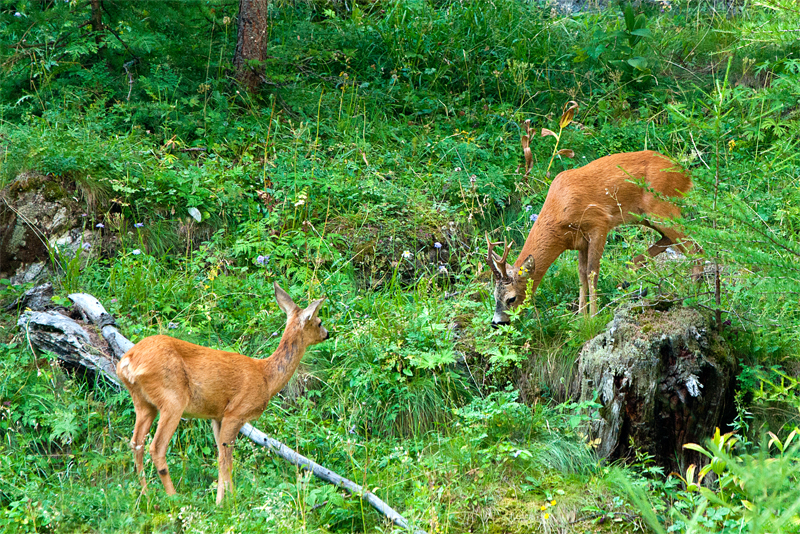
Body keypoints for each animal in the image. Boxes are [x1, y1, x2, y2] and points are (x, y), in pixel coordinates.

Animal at [116, 284, 328, 506]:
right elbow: (226, 458)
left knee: (136, 443)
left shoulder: (217, 416)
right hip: (172, 399)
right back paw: (173, 496)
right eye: (319, 321)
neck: (266, 378)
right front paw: (225, 502)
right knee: (156, 447)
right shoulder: (236, 412)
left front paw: (225, 497)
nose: (327, 333)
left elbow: (221, 454)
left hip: (143, 402)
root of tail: (127, 362)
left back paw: (146, 495)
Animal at [490, 152, 704, 326]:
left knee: (695, 248)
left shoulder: (599, 223)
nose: (497, 323)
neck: (558, 213)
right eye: (494, 295)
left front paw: (593, 316)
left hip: (662, 208)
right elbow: (581, 274)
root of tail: (686, 175)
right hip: (648, 215)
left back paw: (692, 293)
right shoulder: (579, 242)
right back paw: (628, 277)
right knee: (671, 239)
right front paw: (580, 317)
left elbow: (592, 271)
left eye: (511, 298)